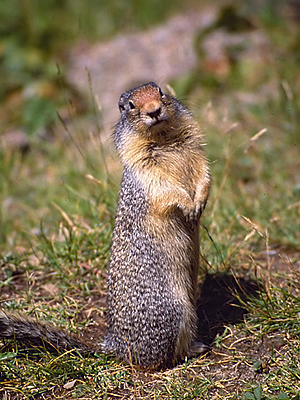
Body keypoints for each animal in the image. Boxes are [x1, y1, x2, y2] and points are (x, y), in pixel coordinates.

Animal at [0, 81, 211, 368]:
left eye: (160, 92)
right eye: (129, 105)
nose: (154, 110)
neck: (163, 139)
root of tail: (115, 346)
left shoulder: (196, 149)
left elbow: (204, 173)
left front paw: (199, 202)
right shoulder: (147, 172)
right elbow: (166, 190)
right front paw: (188, 206)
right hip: (173, 311)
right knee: (161, 358)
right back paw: (194, 349)